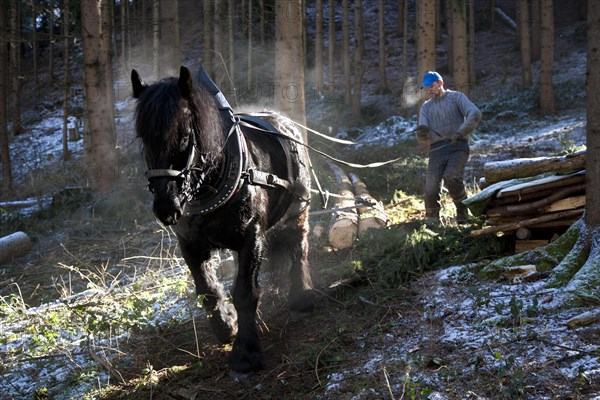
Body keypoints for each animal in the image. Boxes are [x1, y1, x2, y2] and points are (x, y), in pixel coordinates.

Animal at [131, 65, 314, 376]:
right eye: (143, 138)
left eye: (184, 135)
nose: (166, 207)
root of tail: (283, 120)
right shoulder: (190, 243)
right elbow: (206, 290)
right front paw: (226, 325)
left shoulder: (251, 237)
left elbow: (245, 292)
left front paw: (246, 353)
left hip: (298, 210)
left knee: (298, 247)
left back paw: (302, 295)